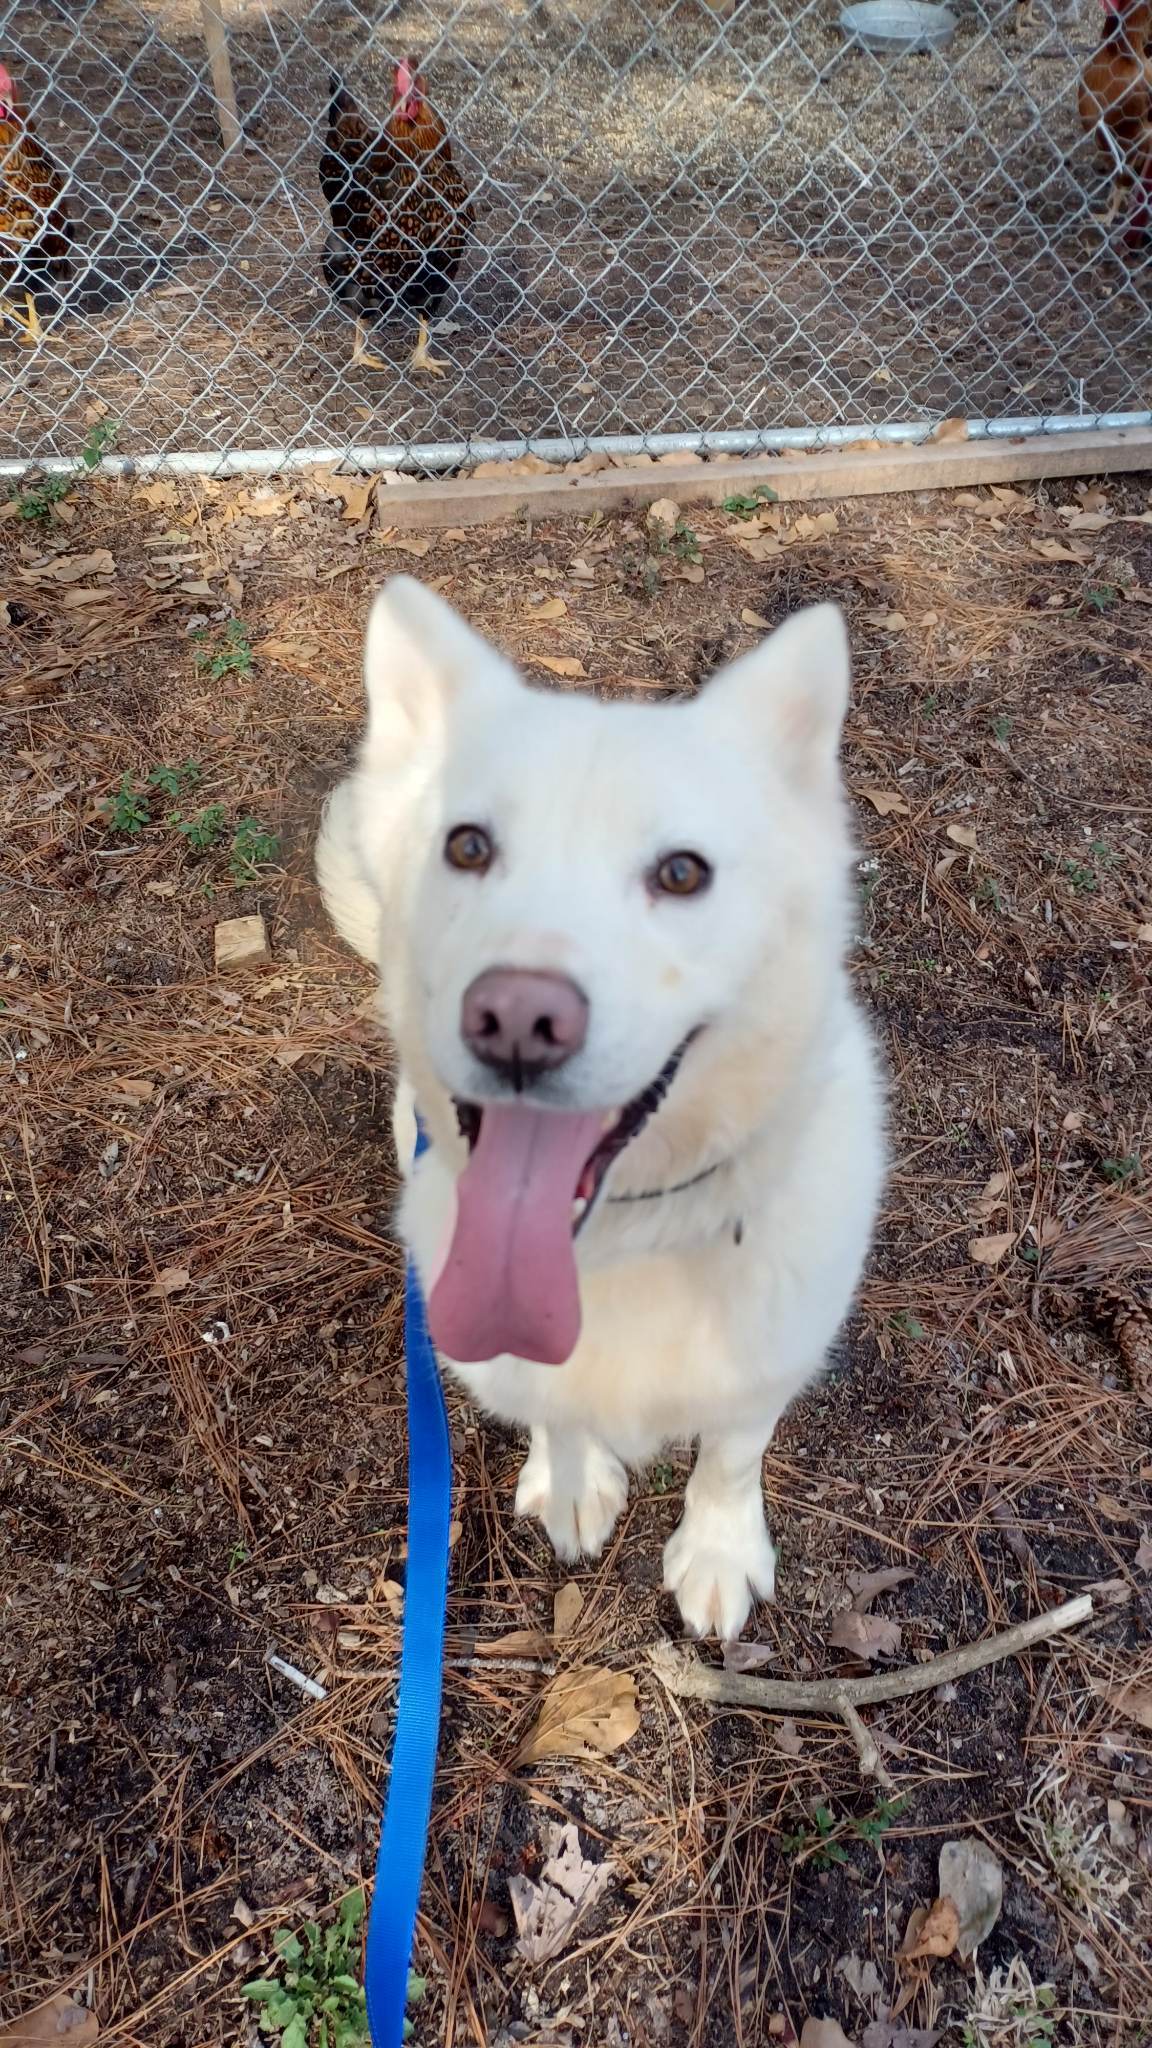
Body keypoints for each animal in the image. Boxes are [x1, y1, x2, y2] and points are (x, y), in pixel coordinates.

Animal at [313, 573, 877, 1630]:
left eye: (683, 872)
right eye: (467, 846)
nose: (517, 1019)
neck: (620, 1245)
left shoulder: (766, 1366)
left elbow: (731, 1456)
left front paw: (718, 1550)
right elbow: (557, 1414)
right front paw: (574, 1484)